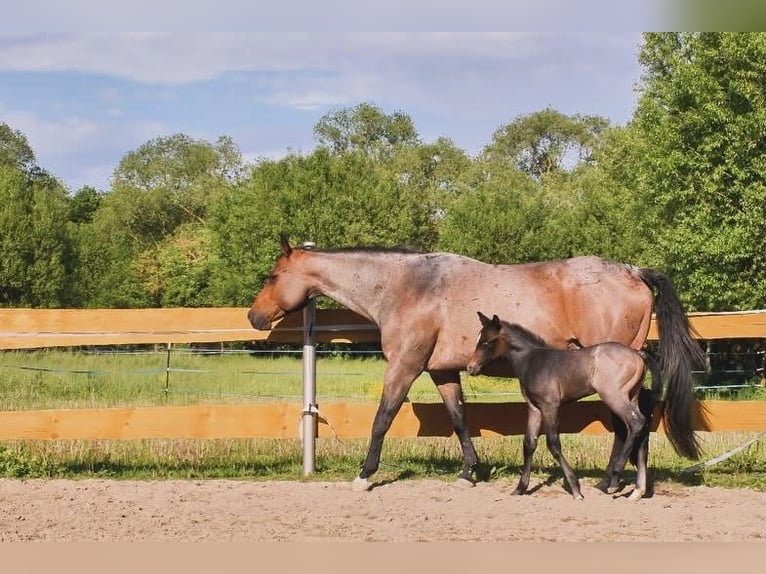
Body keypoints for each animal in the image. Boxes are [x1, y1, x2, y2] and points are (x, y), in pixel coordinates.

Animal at [466, 312, 663, 500]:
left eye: (487, 342)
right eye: (478, 340)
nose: (470, 368)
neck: (532, 361)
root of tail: (638, 354)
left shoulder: (550, 406)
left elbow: (553, 443)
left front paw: (575, 489)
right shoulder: (534, 407)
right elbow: (529, 444)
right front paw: (520, 488)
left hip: (614, 396)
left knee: (635, 423)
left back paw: (615, 478)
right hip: (632, 396)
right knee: (642, 428)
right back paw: (637, 491)